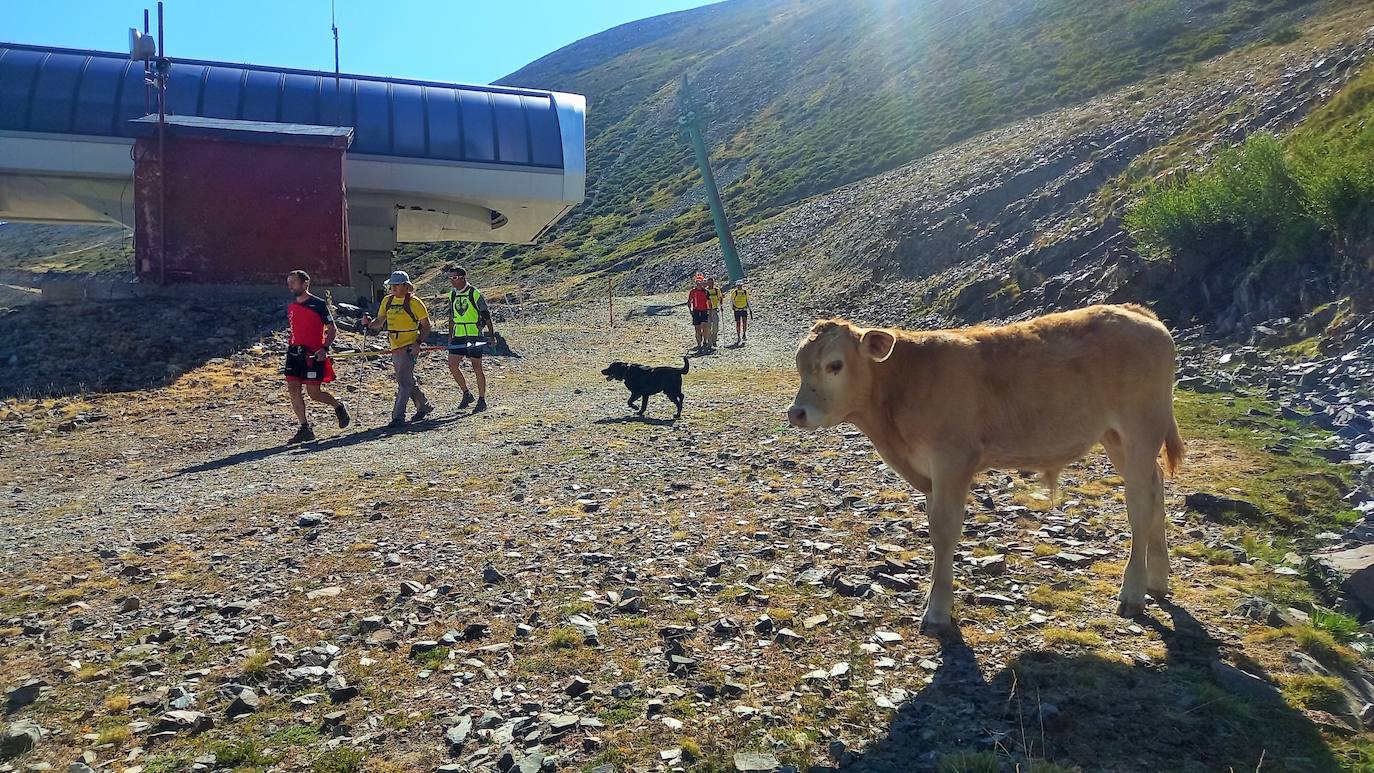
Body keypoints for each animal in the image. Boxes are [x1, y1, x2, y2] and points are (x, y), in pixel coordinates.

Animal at [791, 302, 1187, 634]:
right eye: (799, 364)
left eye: (835, 365)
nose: (797, 413)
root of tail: (1138, 313)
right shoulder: (931, 475)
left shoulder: (952, 461)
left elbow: (944, 532)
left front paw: (937, 611)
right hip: (1116, 437)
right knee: (1155, 491)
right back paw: (1158, 580)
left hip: (1140, 430)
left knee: (1139, 505)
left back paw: (1133, 592)